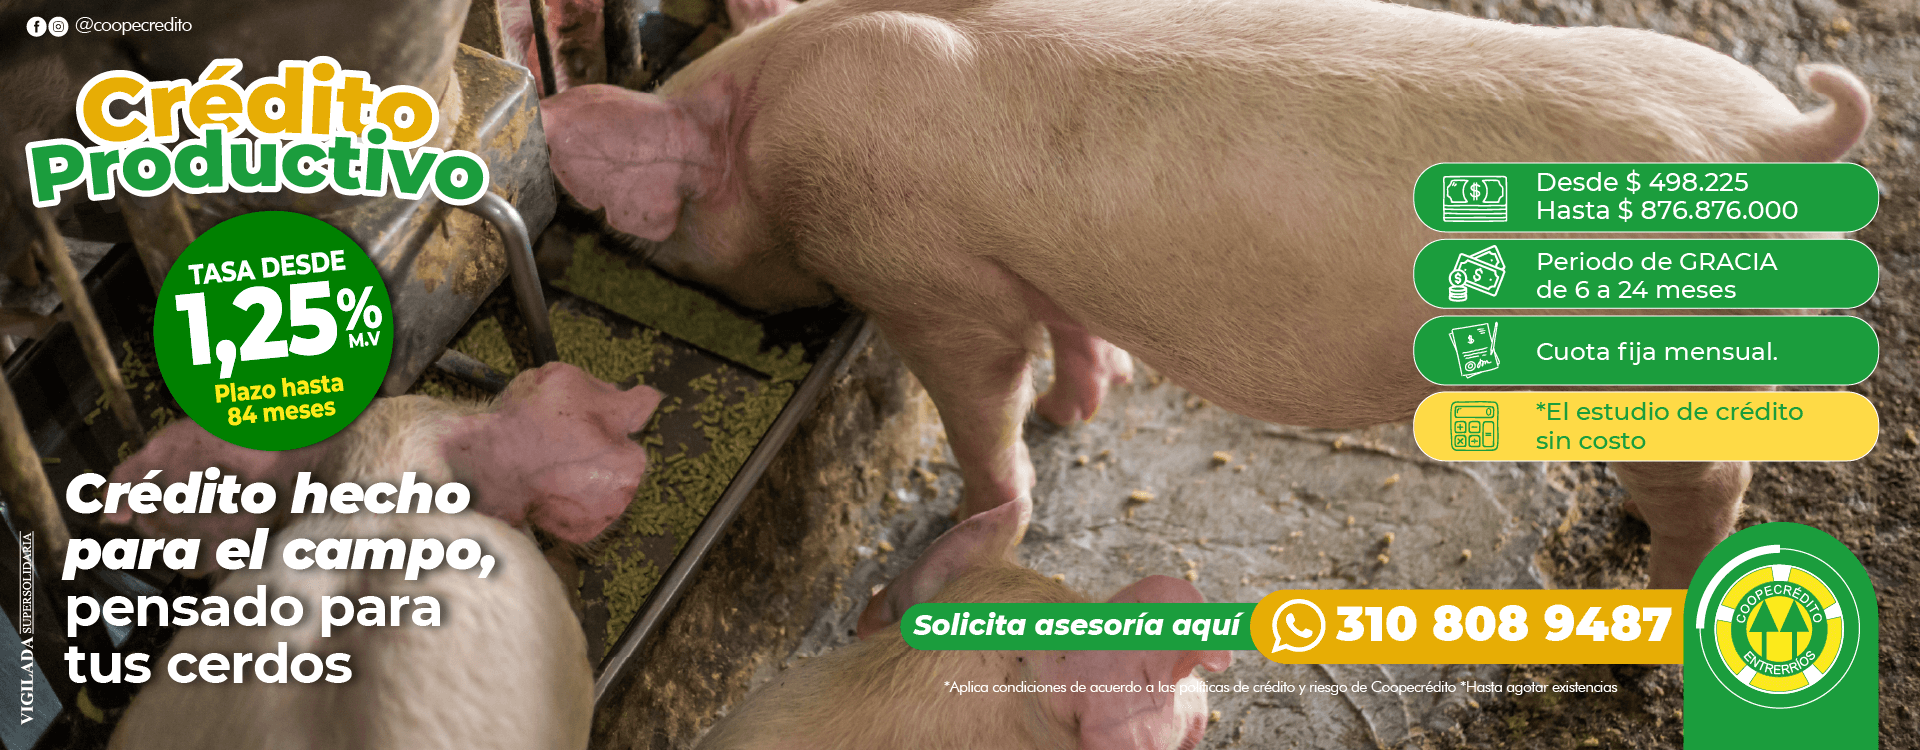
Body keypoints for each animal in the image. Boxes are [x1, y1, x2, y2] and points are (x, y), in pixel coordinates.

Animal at [538, 0, 1874, 588]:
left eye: (671, 218)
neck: (774, 109)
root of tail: (1778, 139)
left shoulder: (923, 274)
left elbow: (985, 396)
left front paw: (950, 549)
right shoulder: (1030, 255)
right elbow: (1070, 326)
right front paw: (1080, 407)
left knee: (1717, 485)